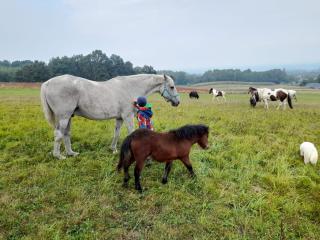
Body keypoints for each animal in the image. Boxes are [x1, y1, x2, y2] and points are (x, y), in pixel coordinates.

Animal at [40, 73, 180, 159]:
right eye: (172, 87)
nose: (177, 102)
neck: (131, 87)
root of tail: (47, 83)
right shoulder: (128, 116)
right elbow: (131, 133)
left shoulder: (119, 118)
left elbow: (116, 133)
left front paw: (113, 149)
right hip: (64, 117)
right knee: (58, 134)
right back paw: (58, 156)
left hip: (69, 117)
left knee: (66, 134)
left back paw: (71, 153)